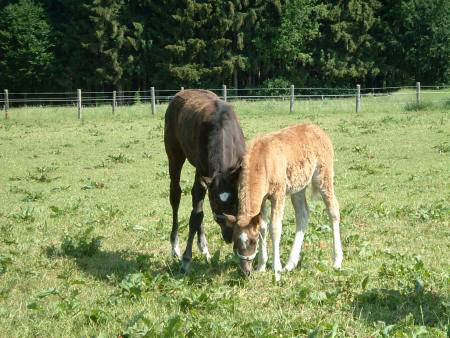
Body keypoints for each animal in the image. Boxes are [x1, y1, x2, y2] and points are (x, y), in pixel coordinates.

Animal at [163, 89, 244, 272]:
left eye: (235, 205)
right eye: (217, 216)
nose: (228, 237)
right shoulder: (203, 172)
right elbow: (196, 216)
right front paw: (186, 260)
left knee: (194, 198)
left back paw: (204, 248)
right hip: (175, 156)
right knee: (176, 195)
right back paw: (175, 247)